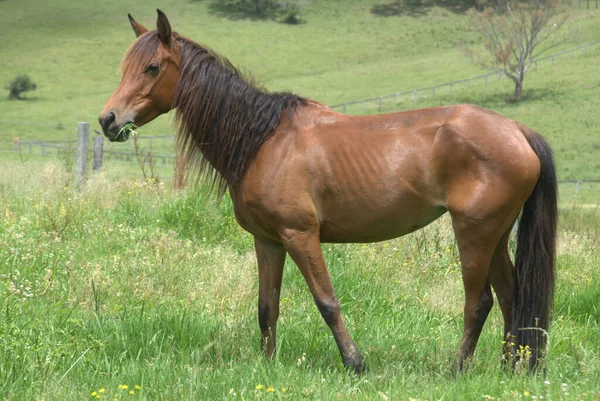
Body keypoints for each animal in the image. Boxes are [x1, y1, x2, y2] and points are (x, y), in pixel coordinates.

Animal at [99, 9, 556, 372]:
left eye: (152, 67)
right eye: (123, 67)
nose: (108, 120)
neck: (264, 139)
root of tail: (517, 130)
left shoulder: (300, 235)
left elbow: (327, 302)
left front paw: (355, 363)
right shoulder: (268, 241)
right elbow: (267, 307)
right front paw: (267, 367)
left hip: (474, 234)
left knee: (479, 304)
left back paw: (457, 369)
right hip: (494, 235)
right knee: (512, 298)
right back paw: (508, 369)